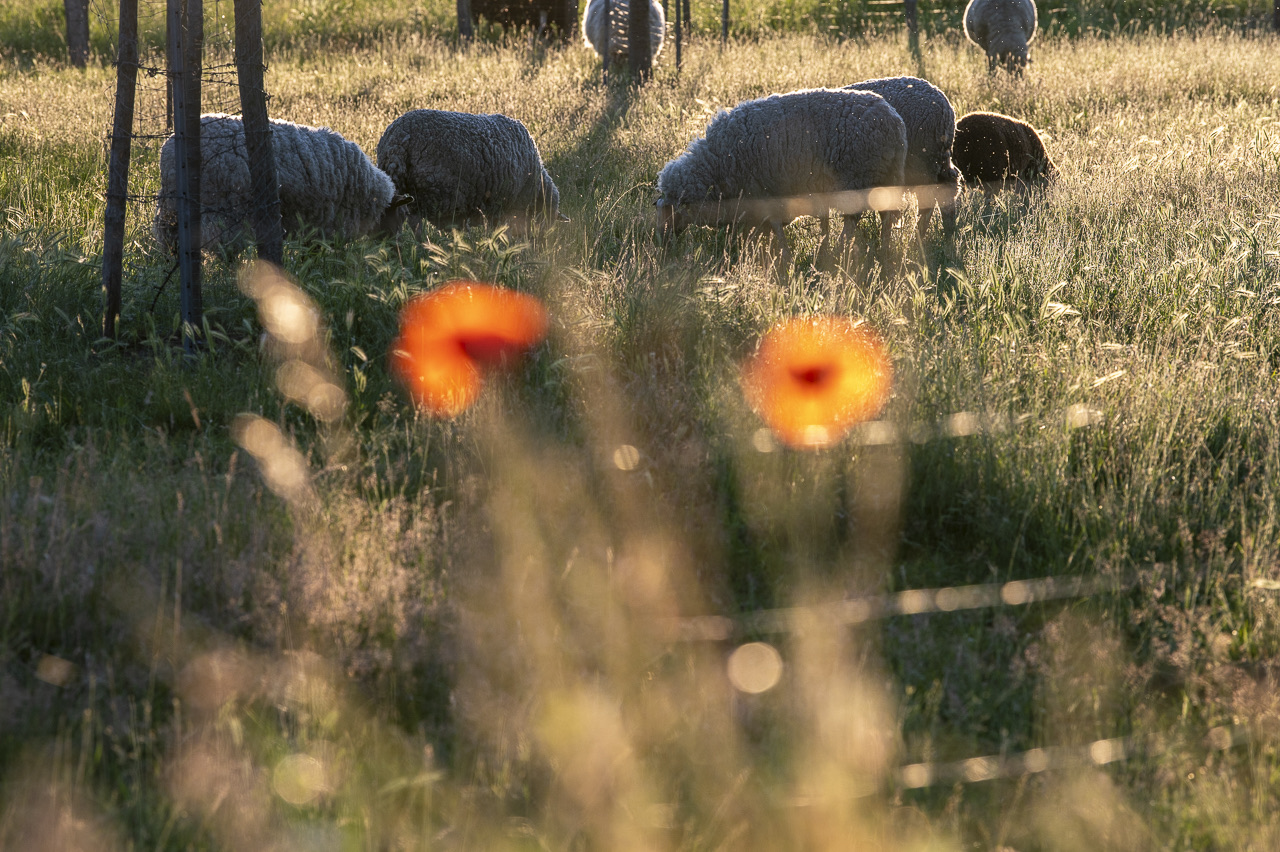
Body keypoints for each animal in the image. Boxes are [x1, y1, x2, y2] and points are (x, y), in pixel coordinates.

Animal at [154, 114, 407, 254]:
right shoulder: (327, 218)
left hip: (171, 205)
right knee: (224, 243)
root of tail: (169, 150)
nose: (394, 249)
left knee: (167, 235)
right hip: (222, 208)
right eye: (397, 217)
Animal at [656, 88, 908, 266]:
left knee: (852, 221)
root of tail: (894, 121)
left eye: (670, 210)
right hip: (885, 179)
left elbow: (774, 225)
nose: (663, 242)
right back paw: (884, 250)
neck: (716, 165)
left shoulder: (762, 192)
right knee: (885, 218)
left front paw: (782, 255)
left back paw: (839, 250)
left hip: (857, 178)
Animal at [842, 75, 961, 240]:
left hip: (922, 162)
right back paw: (948, 232)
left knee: (928, 200)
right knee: (948, 187)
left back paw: (917, 239)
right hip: (936, 160)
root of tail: (945, 109)